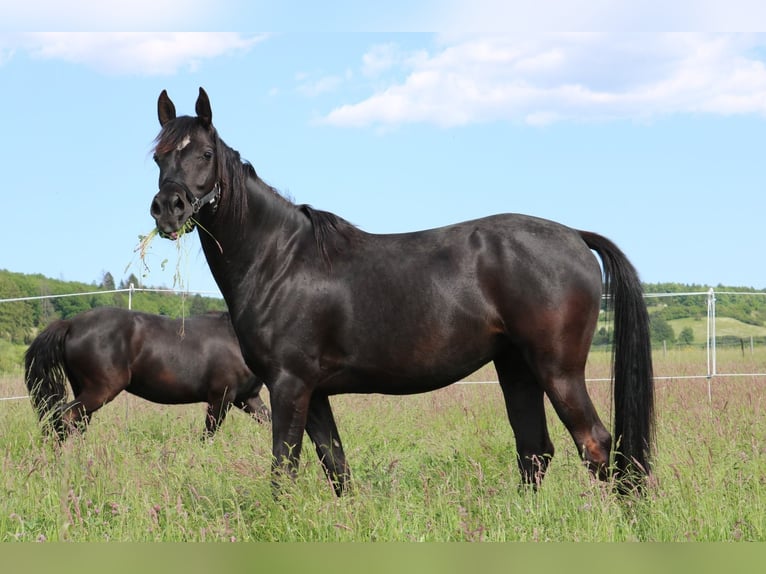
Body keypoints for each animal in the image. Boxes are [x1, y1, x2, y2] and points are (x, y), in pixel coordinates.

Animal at [24, 307, 271, 441]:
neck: (234, 338)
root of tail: (71, 324)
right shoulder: (221, 398)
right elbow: (208, 436)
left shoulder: (247, 398)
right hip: (100, 390)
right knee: (65, 416)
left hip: (83, 390)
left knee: (75, 422)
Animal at [149, 87, 654, 496]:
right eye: (158, 158)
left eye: (205, 154)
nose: (167, 209)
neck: (279, 260)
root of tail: (575, 235)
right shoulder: (315, 392)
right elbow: (336, 467)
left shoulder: (289, 385)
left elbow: (284, 471)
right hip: (516, 368)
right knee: (535, 451)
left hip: (558, 370)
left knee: (596, 446)